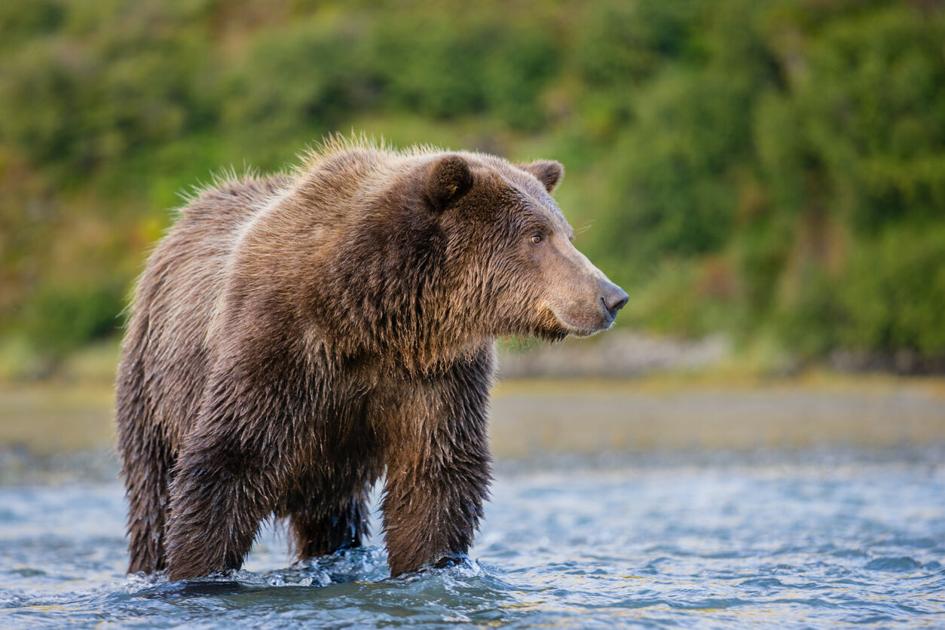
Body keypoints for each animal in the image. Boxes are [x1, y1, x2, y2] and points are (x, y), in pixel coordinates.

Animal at [115, 137, 628, 581]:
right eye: (536, 236)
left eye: (567, 234)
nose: (612, 296)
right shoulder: (277, 346)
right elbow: (227, 461)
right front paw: (198, 571)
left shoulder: (434, 371)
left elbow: (435, 474)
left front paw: (429, 564)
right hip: (153, 383)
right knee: (153, 489)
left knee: (331, 516)